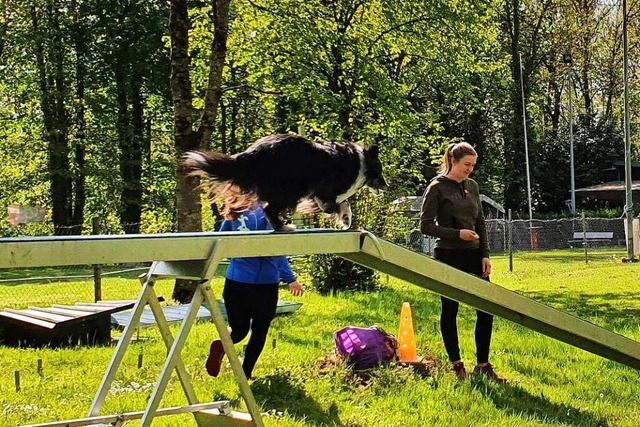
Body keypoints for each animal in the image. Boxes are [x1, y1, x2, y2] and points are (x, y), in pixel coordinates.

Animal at [182, 135, 388, 232]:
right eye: (380, 168)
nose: (386, 186)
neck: (360, 162)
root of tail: (251, 154)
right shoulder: (324, 188)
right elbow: (337, 203)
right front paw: (342, 216)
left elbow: (342, 202)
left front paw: (345, 218)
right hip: (288, 191)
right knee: (269, 209)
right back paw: (283, 226)